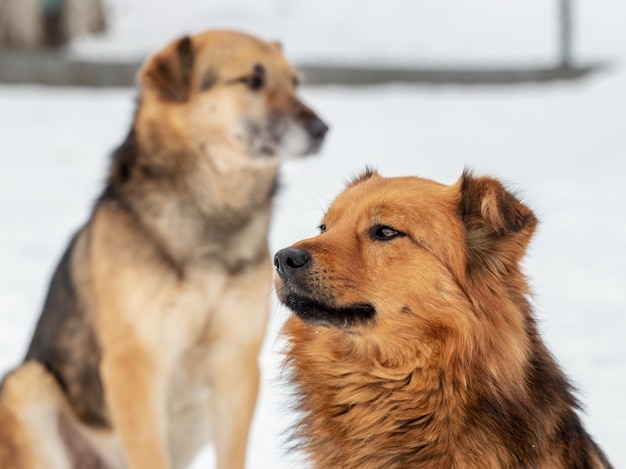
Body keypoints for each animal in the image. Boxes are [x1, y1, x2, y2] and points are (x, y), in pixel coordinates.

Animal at [0, 30, 326, 468]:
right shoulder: (134, 367)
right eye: (252, 80)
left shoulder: (236, 367)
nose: (322, 129)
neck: (211, 217)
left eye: (295, 83)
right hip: (27, 385)